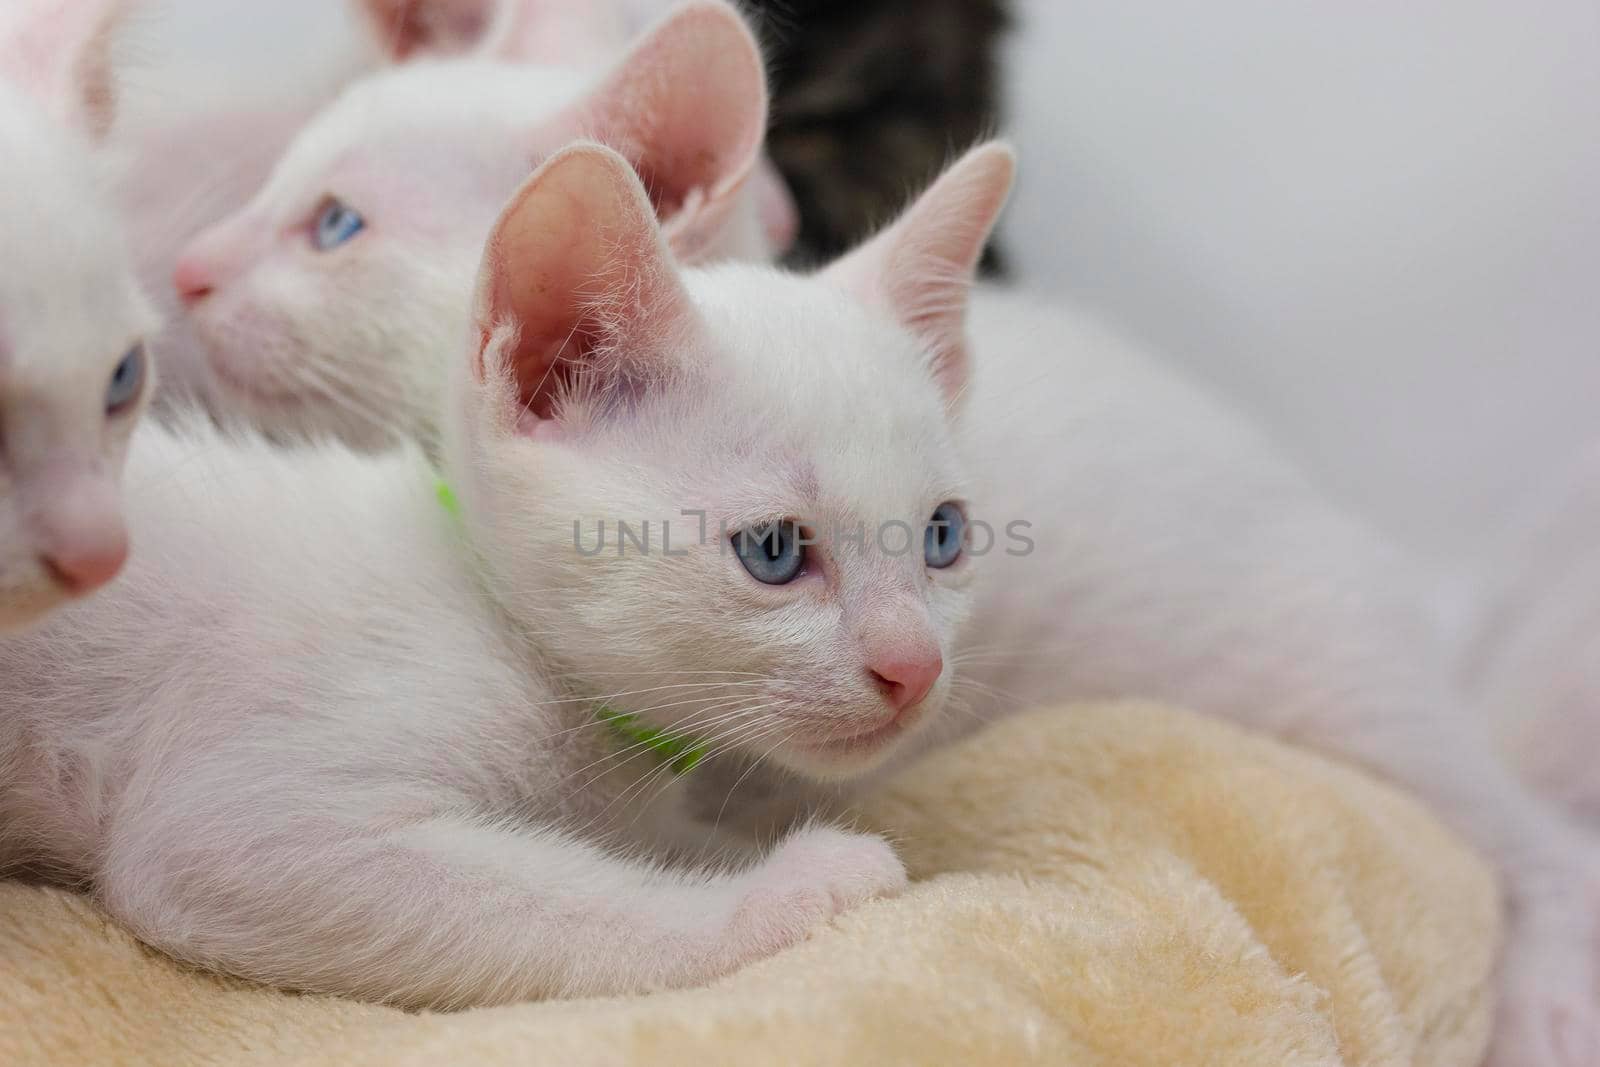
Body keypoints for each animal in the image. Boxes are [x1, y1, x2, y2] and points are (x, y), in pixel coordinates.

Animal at [0, 141, 1017, 1011]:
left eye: (942, 535)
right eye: (773, 549)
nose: (914, 666)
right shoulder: (232, 822)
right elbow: (563, 902)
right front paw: (788, 890)